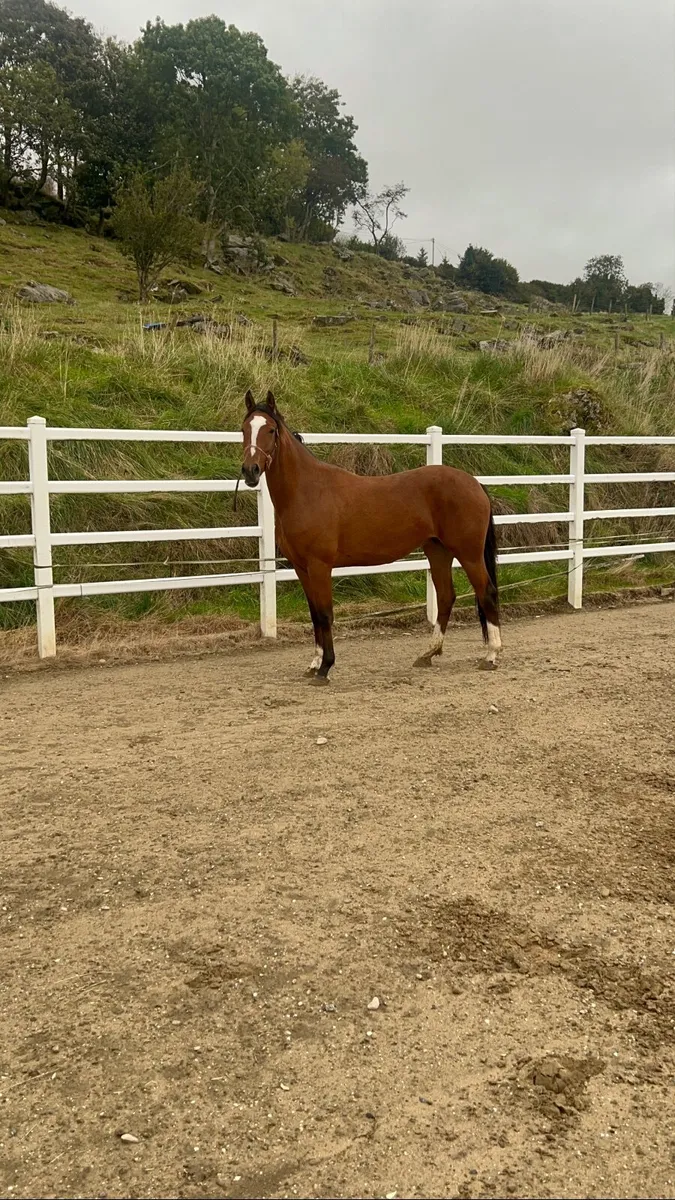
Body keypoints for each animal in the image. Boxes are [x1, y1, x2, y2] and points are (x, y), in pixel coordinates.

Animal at [240, 390, 501, 682]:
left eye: (270, 430)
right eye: (244, 429)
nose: (250, 471)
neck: (308, 491)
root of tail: (475, 483)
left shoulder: (320, 566)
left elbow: (325, 614)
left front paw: (326, 667)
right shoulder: (301, 568)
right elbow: (314, 615)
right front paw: (314, 664)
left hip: (469, 554)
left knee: (486, 592)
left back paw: (491, 655)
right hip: (438, 551)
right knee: (446, 597)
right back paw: (428, 654)